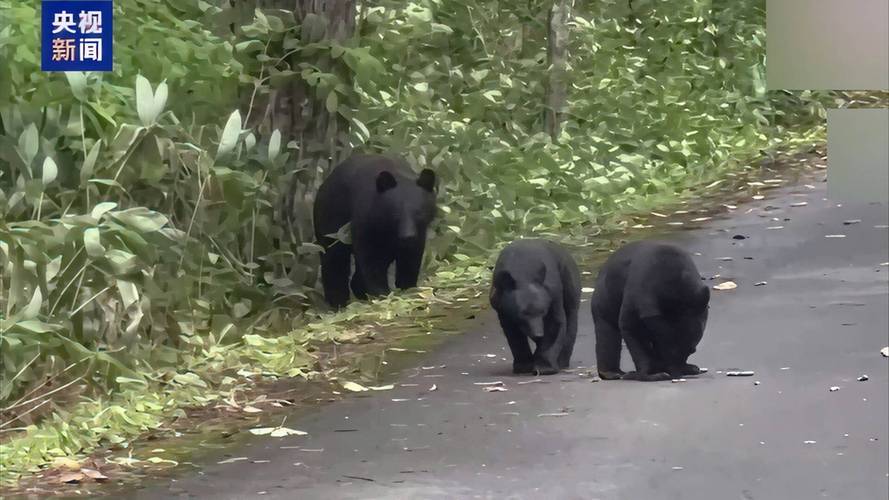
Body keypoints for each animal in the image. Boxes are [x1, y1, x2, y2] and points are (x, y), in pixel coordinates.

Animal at [312, 154, 437, 309]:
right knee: (334, 258)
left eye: (419, 213)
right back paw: (338, 302)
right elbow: (371, 261)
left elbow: (410, 260)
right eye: (395, 214)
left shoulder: (419, 233)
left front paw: (409, 291)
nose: (407, 236)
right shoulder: (366, 223)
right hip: (332, 221)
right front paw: (383, 295)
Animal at [489, 239, 582, 375]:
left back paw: (562, 361)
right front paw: (523, 365)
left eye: (542, 312)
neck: (523, 272)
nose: (538, 334)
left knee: (571, 318)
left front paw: (544, 366)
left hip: (568, 279)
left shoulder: (552, 293)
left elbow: (554, 324)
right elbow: (513, 334)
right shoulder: (500, 304)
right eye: (523, 313)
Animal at [590, 240, 710, 382]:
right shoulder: (637, 294)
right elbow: (631, 327)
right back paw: (612, 372)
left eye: (690, 350)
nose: (676, 373)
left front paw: (687, 367)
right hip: (605, 299)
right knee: (607, 333)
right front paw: (651, 373)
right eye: (668, 349)